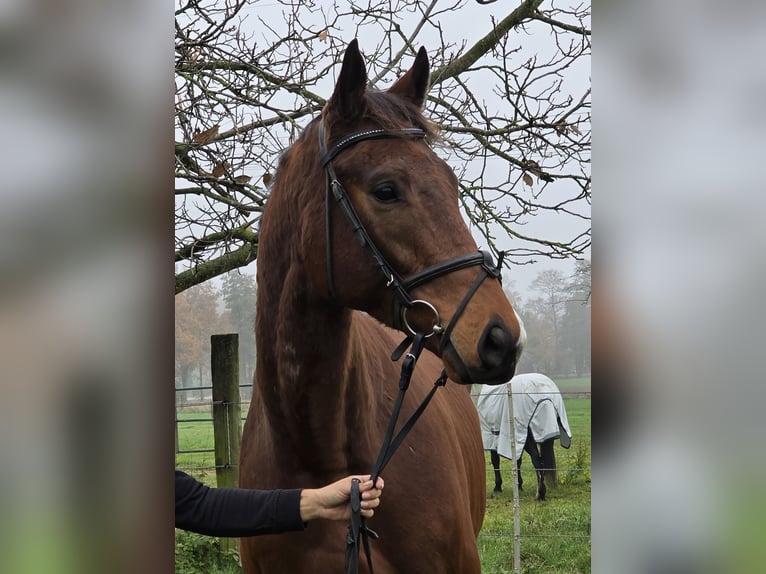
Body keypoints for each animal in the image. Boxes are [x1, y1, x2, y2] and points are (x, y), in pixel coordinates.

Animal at [476, 373, 572, 501]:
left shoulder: (493, 437)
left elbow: (495, 461)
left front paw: (497, 487)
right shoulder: (515, 440)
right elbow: (517, 461)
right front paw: (519, 485)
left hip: (528, 438)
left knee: (537, 461)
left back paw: (540, 494)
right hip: (546, 435)